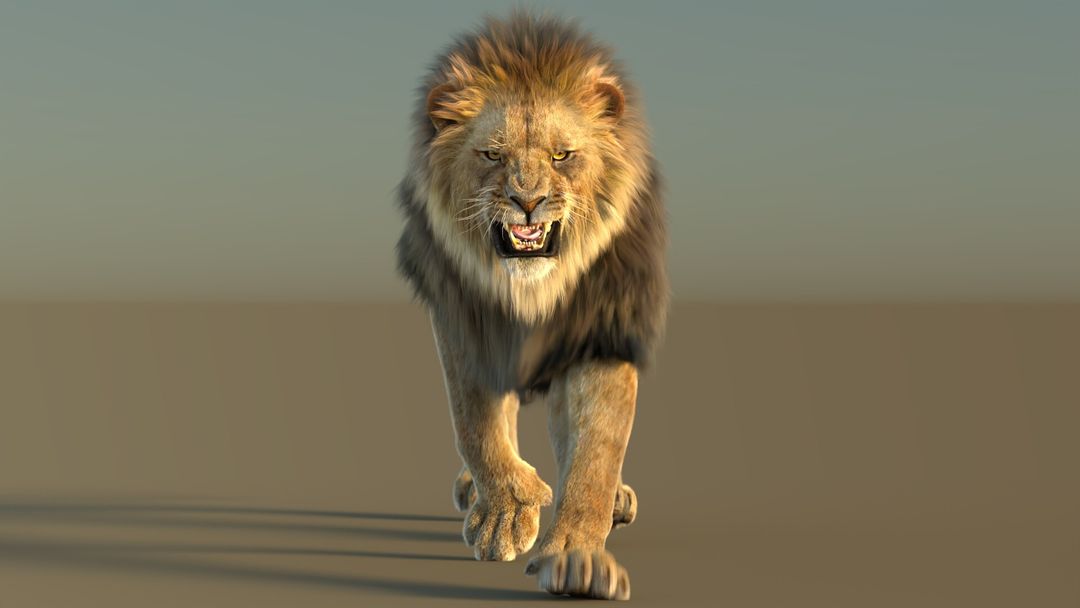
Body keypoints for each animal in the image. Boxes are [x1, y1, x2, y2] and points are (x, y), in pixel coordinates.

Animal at [395, 11, 667, 600]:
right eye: (492, 154)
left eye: (562, 155)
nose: (527, 200)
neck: (530, 290)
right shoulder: (464, 316)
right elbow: (476, 423)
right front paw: (506, 509)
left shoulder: (603, 325)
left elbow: (595, 452)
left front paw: (576, 558)